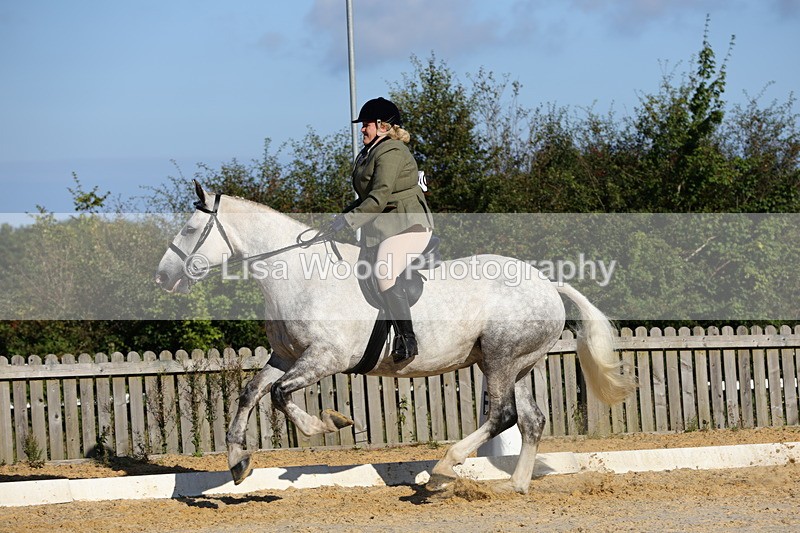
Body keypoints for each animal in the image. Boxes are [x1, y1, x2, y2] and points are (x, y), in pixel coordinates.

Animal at [155, 181, 636, 494]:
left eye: (188, 230)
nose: (162, 276)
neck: (296, 273)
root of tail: (548, 284)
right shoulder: (287, 355)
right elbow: (251, 392)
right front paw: (238, 463)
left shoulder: (325, 357)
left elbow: (279, 395)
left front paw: (329, 423)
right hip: (513, 364)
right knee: (531, 420)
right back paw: (515, 486)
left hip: (501, 359)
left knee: (501, 416)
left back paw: (443, 471)